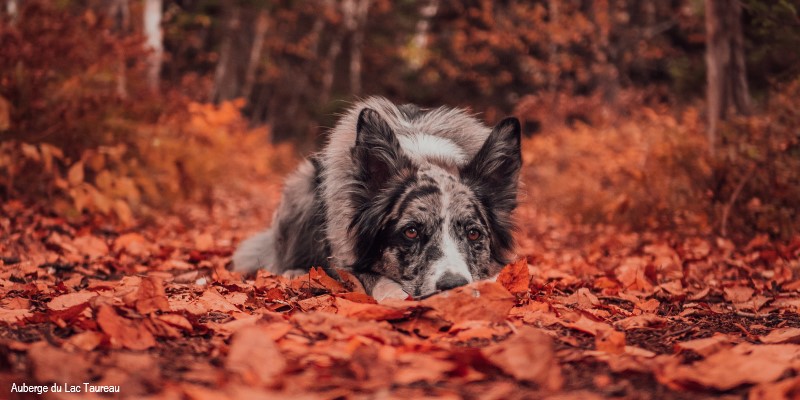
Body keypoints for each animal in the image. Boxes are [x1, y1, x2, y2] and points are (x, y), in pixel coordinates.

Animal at [231, 97, 520, 300]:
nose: (453, 287)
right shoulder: (347, 254)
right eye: (411, 232)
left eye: (473, 234)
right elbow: (376, 280)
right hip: (302, 186)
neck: (425, 156)